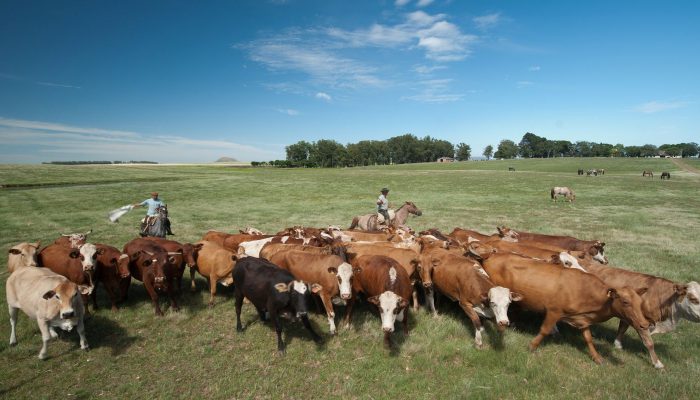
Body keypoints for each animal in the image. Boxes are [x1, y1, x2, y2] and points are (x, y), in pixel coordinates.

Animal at [481, 252, 663, 368]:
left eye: (639, 302)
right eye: (625, 302)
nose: (644, 324)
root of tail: (491, 255)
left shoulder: (583, 320)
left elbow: (588, 339)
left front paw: (597, 358)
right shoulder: (554, 311)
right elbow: (544, 330)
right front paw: (532, 346)